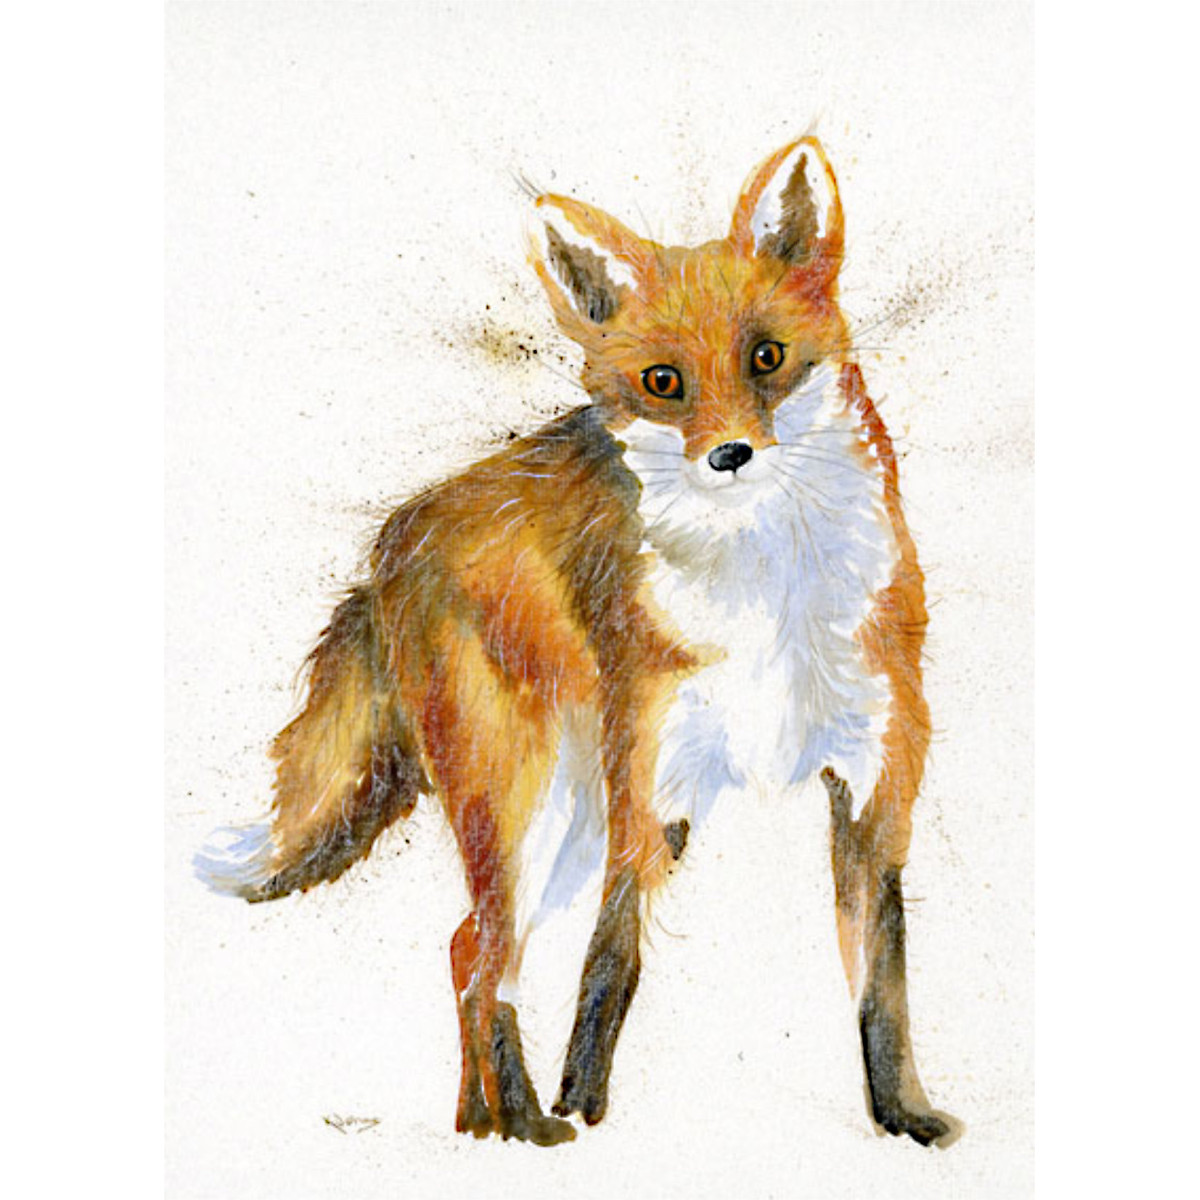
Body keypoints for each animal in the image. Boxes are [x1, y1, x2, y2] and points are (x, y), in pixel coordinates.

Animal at [197, 137, 958, 1148]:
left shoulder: (874, 784)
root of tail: (395, 540)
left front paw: (905, 1118)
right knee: (486, 958)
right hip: (529, 805)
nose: (730, 456)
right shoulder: (652, 792)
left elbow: (882, 982)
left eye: (768, 358)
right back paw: (521, 1124)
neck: (769, 598)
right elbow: (611, 967)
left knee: (471, 951)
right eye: (663, 382)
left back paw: (484, 1121)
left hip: (568, 821)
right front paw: (584, 1108)